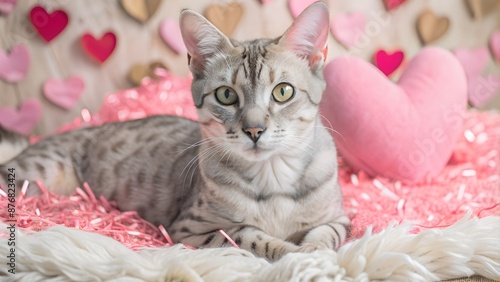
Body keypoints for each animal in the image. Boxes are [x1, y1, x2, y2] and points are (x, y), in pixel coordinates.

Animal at [0, 2, 350, 262]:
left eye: (283, 92)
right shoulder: (190, 228)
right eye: (226, 95)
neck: (273, 179)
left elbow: (327, 234)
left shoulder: (341, 219)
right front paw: (294, 252)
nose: (254, 129)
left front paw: (314, 250)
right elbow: (248, 237)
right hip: (38, 173)